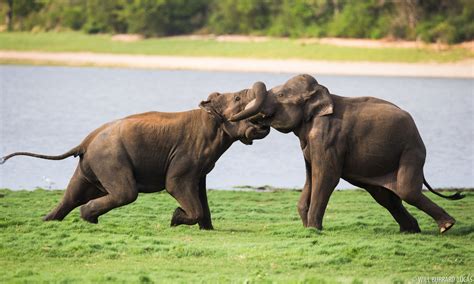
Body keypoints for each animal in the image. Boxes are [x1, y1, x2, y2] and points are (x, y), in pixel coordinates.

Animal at [0, 81, 270, 229]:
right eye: (238, 98)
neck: (208, 116)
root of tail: (85, 141)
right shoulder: (185, 157)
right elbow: (175, 185)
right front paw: (175, 219)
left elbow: (200, 191)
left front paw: (207, 229)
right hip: (110, 159)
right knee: (124, 193)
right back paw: (87, 216)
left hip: (92, 165)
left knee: (72, 196)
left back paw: (56, 220)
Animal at [231, 74, 464, 234]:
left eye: (280, 95)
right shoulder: (308, 143)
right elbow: (311, 177)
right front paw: (307, 227)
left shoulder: (328, 137)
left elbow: (326, 177)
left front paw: (313, 229)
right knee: (385, 196)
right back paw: (411, 230)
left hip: (411, 150)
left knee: (407, 191)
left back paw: (446, 226)